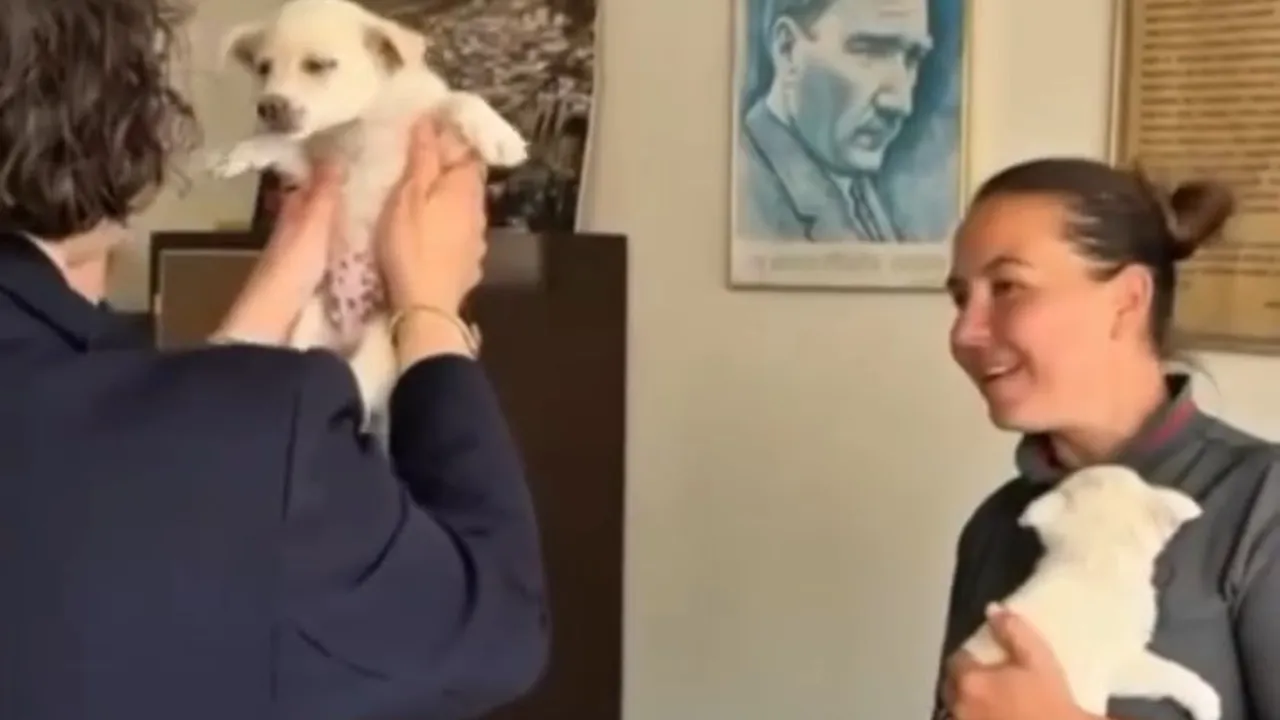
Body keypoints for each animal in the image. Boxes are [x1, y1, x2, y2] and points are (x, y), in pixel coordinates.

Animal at [208, 0, 527, 420]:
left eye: (318, 65)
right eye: (263, 69)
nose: (268, 106)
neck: (358, 123)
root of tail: (348, 334)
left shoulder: (439, 145)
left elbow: (459, 100)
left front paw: (499, 135)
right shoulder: (309, 168)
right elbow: (282, 144)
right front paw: (239, 152)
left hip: (378, 352)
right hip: (308, 328)